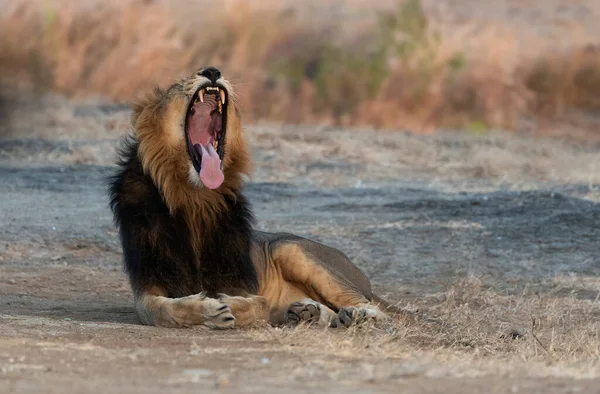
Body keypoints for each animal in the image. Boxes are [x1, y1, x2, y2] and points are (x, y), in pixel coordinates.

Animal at [109, 67, 398, 330]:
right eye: (177, 85)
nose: (212, 71)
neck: (195, 198)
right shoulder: (146, 286)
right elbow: (161, 310)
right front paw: (208, 310)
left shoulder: (241, 283)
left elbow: (258, 304)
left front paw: (222, 305)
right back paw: (306, 312)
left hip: (289, 248)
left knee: (369, 306)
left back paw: (358, 315)